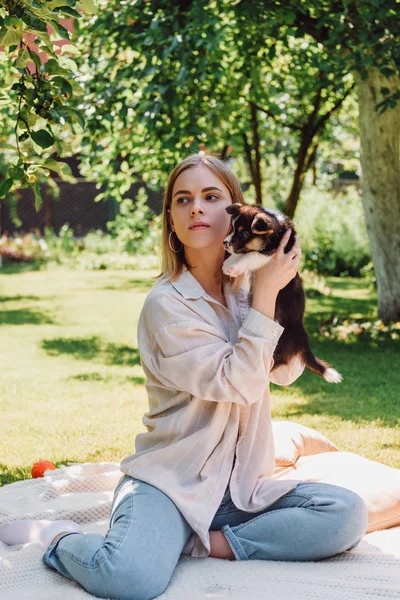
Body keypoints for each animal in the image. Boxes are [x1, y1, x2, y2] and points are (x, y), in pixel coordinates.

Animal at [222, 204, 340, 384]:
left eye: (243, 234)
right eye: (232, 228)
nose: (225, 243)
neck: (275, 229)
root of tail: (303, 340)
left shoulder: (270, 252)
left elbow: (251, 255)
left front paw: (233, 267)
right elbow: (243, 253)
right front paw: (229, 262)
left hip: (280, 345)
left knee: (272, 365)